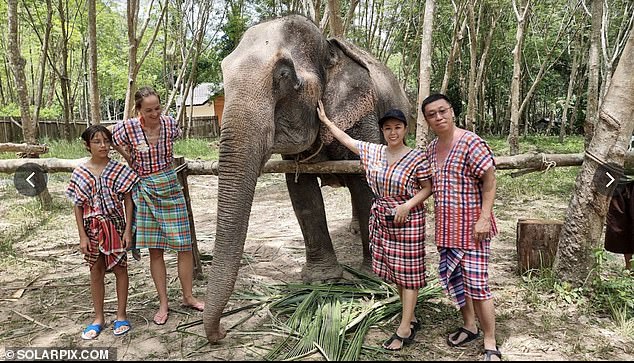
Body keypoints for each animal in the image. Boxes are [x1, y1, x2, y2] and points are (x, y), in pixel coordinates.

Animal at [204, 14, 410, 344]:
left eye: (284, 75)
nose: (222, 332)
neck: (328, 49)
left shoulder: (363, 113)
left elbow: (365, 181)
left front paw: (372, 278)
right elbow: (300, 190)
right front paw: (321, 280)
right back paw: (353, 229)